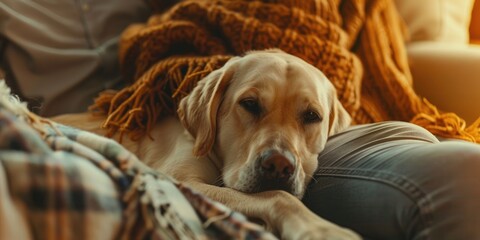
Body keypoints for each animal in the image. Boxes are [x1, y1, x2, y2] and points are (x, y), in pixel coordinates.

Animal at [53, 49, 360, 239]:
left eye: (312, 116)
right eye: (250, 104)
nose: (279, 165)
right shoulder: (184, 181)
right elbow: (277, 196)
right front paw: (321, 230)